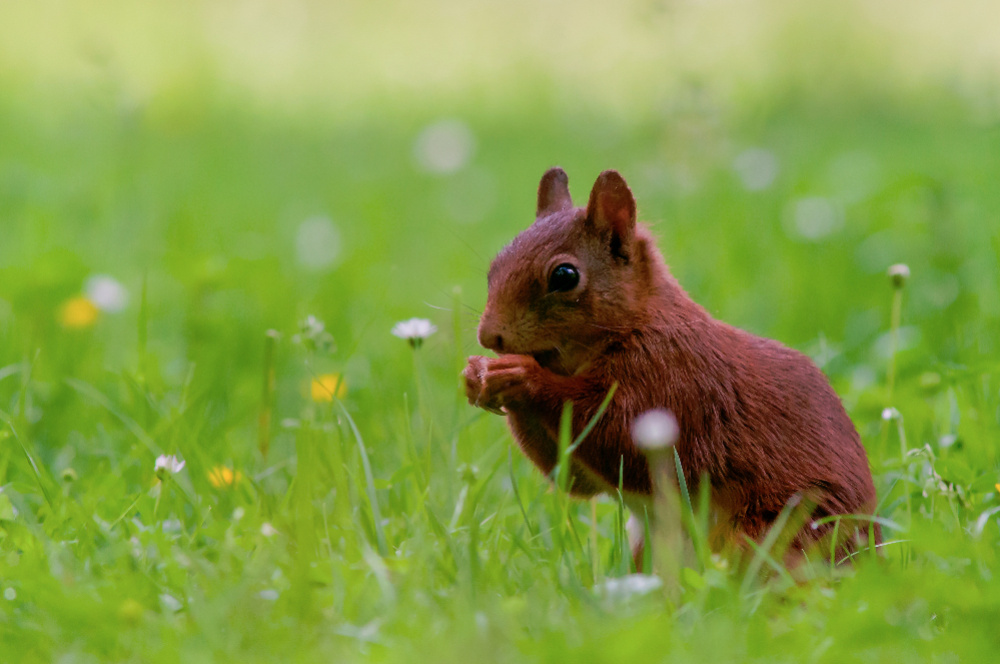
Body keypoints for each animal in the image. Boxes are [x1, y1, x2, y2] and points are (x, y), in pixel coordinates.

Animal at [464, 167, 880, 564]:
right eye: (494, 266)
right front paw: (475, 377)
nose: (489, 336)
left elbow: (616, 437)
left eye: (565, 276)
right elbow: (575, 479)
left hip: (777, 531)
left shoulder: (673, 379)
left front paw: (522, 377)